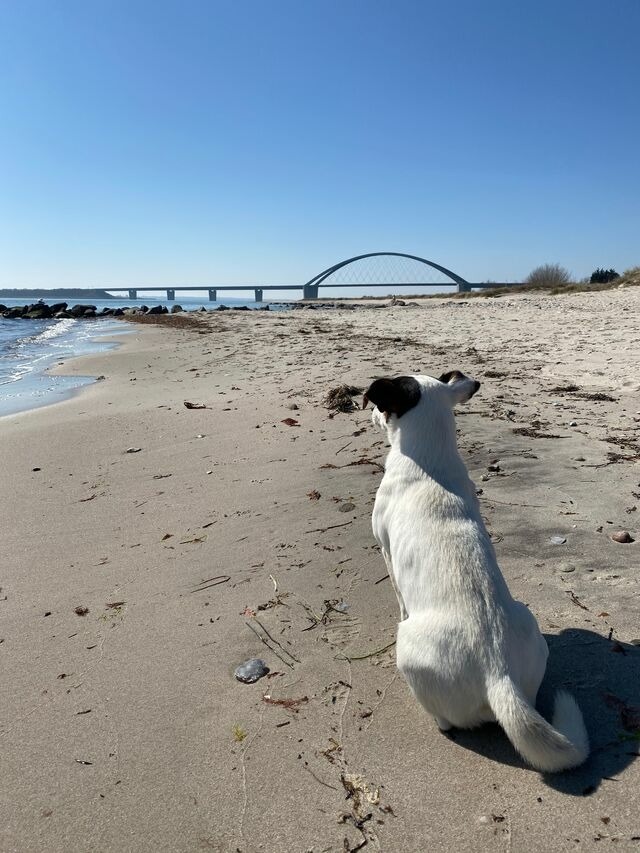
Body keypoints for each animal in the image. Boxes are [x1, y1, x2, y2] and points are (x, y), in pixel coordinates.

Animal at [364, 372, 592, 772]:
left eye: (380, 406)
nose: (368, 416)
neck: (429, 463)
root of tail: (498, 675)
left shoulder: (385, 550)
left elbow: (398, 594)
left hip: (408, 651)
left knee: (445, 718)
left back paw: (439, 722)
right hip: (529, 622)